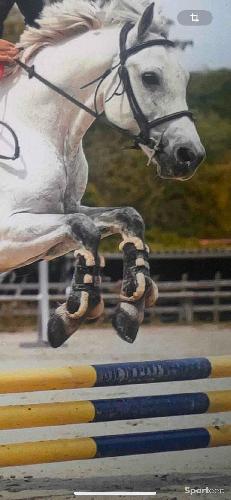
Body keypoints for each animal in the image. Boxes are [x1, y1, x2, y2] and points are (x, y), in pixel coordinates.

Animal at [0, 0, 206, 346]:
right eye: (150, 77)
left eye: (186, 78)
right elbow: (84, 227)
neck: (37, 131)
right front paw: (73, 311)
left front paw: (131, 306)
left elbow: (124, 217)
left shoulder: (65, 214)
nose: (190, 156)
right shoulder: (8, 230)